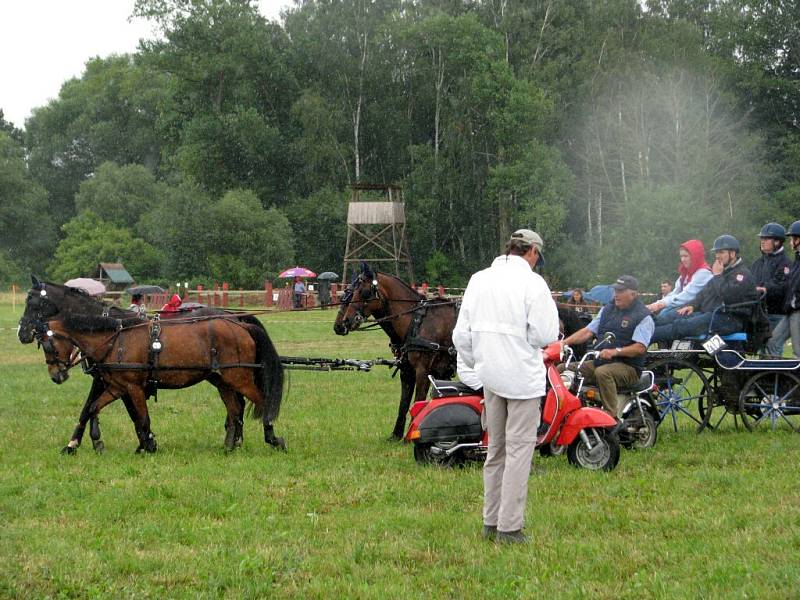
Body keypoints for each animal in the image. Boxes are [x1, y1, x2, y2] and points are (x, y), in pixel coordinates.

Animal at [34, 312, 284, 452]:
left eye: (48, 345)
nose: (56, 375)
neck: (116, 342)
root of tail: (242, 325)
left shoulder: (133, 388)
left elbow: (143, 418)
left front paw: (148, 445)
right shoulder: (116, 387)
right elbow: (94, 407)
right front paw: (96, 441)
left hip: (239, 378)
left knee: (264, 403)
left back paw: (273, 439)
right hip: (222, 381)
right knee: (234, 410)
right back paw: (231, 445)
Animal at [332, 264, 456, 438]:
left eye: (363, 291)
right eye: (348, 293)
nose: (344, 323)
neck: (416, 321)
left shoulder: (423, 371)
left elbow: (419, 401)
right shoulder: (408, 371)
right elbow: (404, 404)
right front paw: (396, 435)